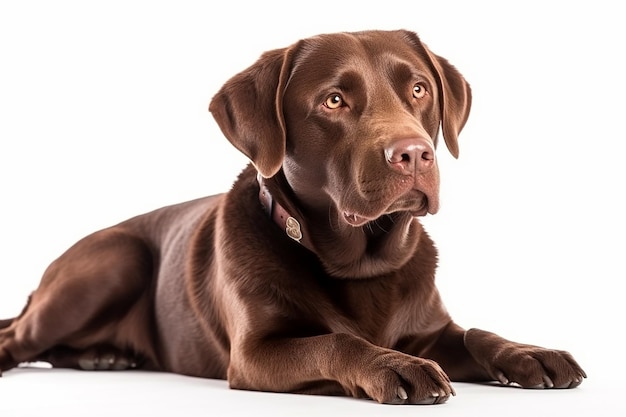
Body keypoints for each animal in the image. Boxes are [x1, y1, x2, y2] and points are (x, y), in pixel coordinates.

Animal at [1, 29, 584, 404]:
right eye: (334, 101)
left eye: (418, 89)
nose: (414, 154)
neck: (364, 264)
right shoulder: (255, 353)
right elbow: (337, 340)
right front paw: (392, 365)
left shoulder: (430, 327)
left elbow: (475, 333)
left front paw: (530, 352)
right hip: (115, 260)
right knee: (19, 337)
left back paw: (102, 356)